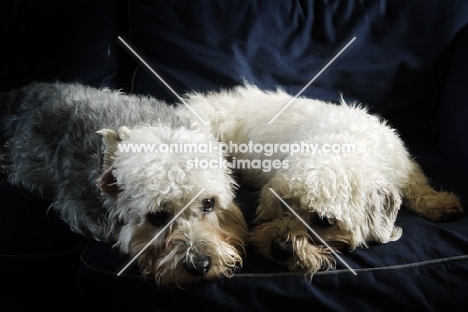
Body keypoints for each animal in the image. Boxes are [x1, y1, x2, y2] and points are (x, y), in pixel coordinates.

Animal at [177, 83, 462, 278]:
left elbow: (417, 186)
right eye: (284, 204)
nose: (279, 249)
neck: (344, 145)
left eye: (324, 222)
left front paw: (439, 204)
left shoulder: (404, 166)